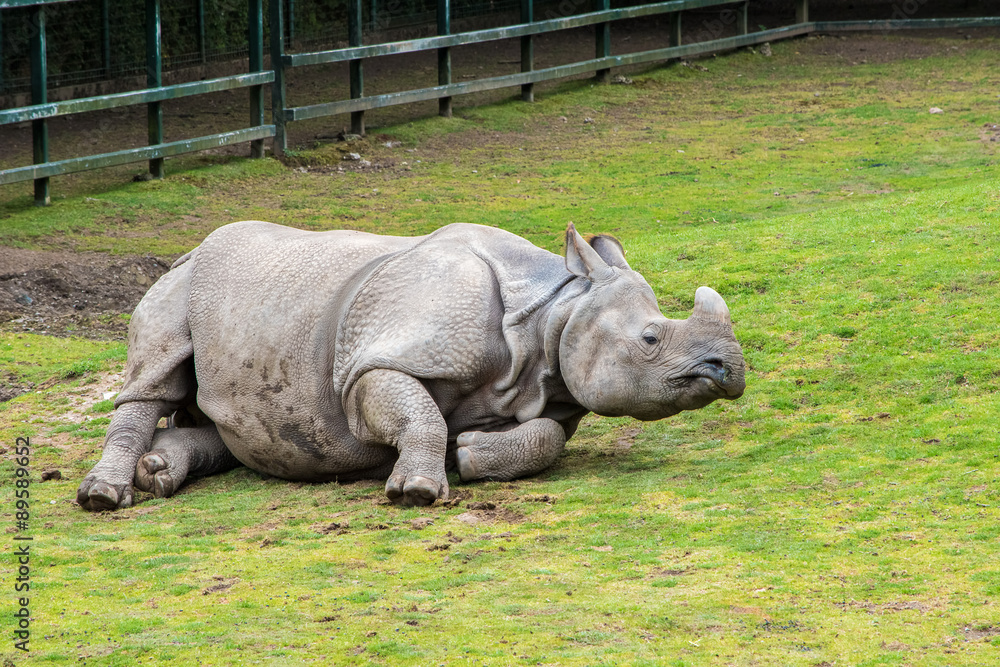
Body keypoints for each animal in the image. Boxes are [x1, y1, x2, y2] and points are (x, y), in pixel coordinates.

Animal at [76, 221, 745, 510]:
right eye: (651, 338)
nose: (729, 370)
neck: (553, 312)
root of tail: (193, 248)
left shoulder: (554, 389)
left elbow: (547, 437)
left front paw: (470, 453)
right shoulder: (374, 364)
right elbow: (416, 410)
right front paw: (419, 489)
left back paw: (158, 472)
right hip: (182, 281)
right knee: (153, 380)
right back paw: (106, 498)